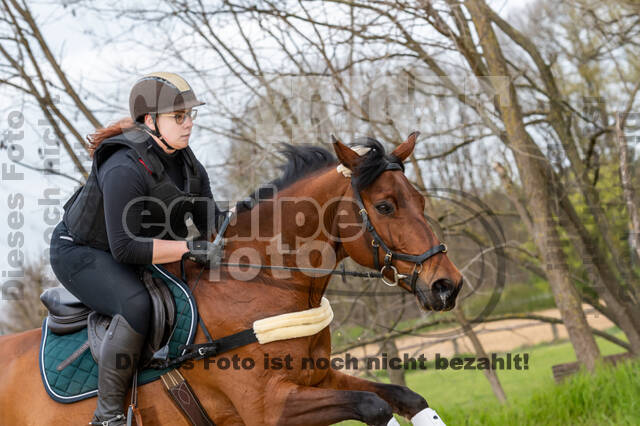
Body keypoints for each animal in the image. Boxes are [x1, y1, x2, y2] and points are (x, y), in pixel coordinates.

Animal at [0, 131, 460, 424]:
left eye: (420, 201)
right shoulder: (270, 407)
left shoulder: (318, 379)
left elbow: (404, 397)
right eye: (384, 206)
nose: (446, 285)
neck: (260, 287)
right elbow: (372, 407)